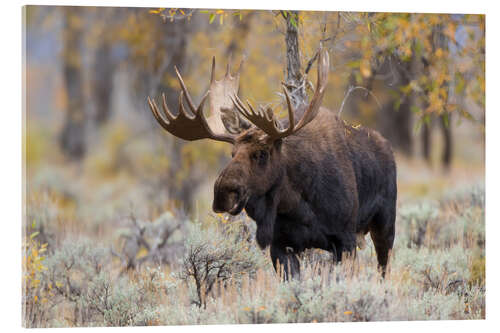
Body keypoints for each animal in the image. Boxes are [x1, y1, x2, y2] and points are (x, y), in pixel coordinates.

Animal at [146, 48, 396, 278]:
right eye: (232, 153)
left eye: (262, 153)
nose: (222, 194)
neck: (296, 202)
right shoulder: (280, 246)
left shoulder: (345, 240)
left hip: (385, 224)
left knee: (383, 269)